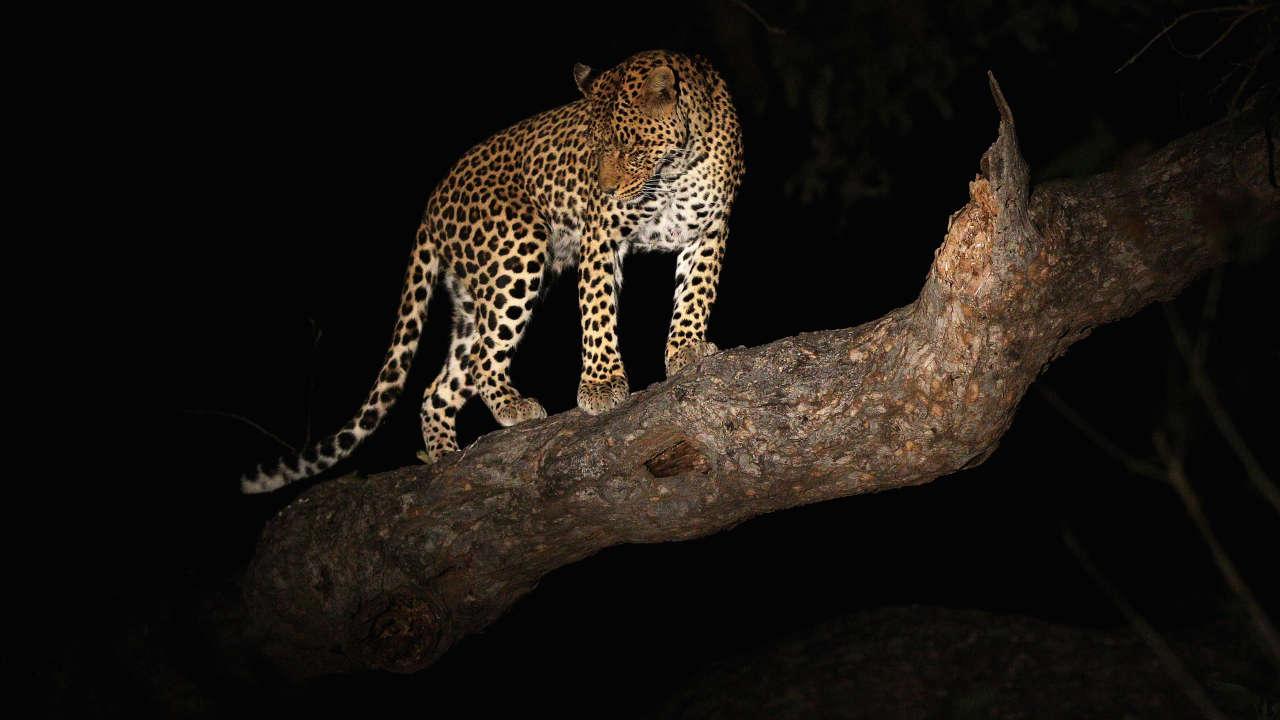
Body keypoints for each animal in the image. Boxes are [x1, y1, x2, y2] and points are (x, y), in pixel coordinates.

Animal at [240, 47, 747, 489]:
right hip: (517, 251)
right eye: (590, 149)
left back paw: (445, 458)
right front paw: (601, 384)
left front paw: (686, 349)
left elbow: (697, 292)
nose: (601, 188)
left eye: (628, 146)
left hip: (474, 300)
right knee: (484, 360)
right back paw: (510, 407)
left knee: (439, 388)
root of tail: (432, 203)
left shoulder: (711, 225)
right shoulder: (600, 234)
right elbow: (598, 309)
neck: (674, 170)